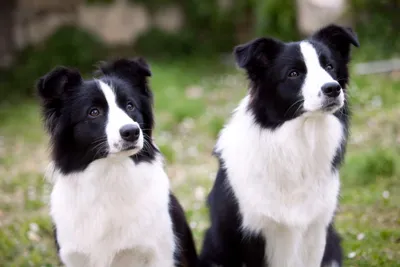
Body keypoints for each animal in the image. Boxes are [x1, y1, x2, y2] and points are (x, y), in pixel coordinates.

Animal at [200, 25, 360, 267]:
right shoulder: (249, 234)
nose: (332, 89)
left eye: (329, 66)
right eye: (293, 73)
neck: (298, 143)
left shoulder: (317, 230)